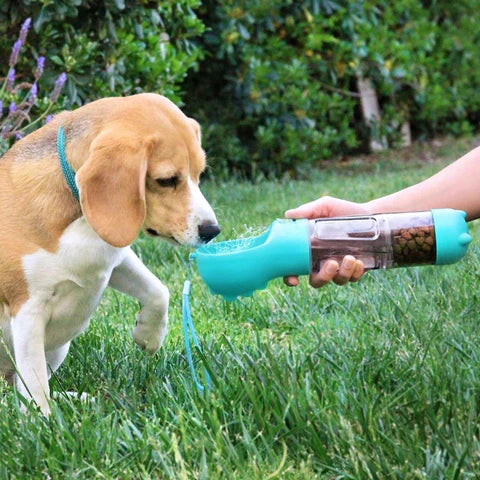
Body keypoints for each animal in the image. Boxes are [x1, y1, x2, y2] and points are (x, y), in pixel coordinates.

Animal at [0, 93, 219, 412]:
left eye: (199, 173)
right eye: (167, 180)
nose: (212, 230)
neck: (75, 218)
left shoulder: (116, 258)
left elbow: (158, 291)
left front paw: (148, 335)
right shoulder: (27, 311)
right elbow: (36, 386)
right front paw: (44, 421)